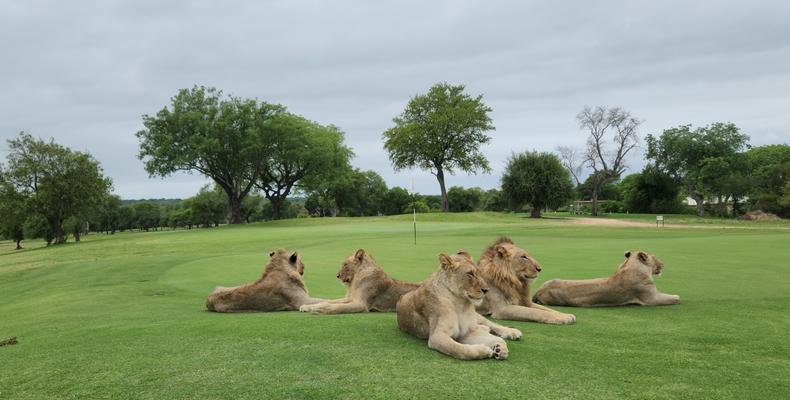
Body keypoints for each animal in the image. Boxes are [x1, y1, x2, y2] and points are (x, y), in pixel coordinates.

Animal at [396, 252, 524, 360]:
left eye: (479, 273)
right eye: (470, 274)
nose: (486, 290)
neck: (460, 303)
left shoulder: (466, 332)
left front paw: (499, 347)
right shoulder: (438, 336)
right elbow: (460, 349)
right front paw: (485, 350)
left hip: (477, 317)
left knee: (492, 324)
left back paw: (510, 334)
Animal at [532, 250, 680, 306]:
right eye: (655, 258)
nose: (663, 264)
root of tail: (538, 290)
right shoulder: (651, 298)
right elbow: (674, 298)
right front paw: (677, 296)